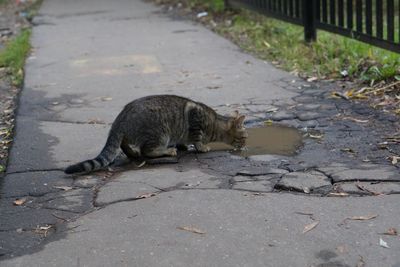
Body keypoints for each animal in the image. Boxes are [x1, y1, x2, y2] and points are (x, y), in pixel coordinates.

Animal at [63, 95, 247, 175]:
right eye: (245, 137)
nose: (245, 146)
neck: (215, 124)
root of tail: (121, 116)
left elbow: (184, 140)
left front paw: (184, 145)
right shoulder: (195, 118)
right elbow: (197, 138)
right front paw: (201, 147)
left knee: (125, 143)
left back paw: (132, 152)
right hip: (160, 132)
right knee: (147, 150)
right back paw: (167, 150)